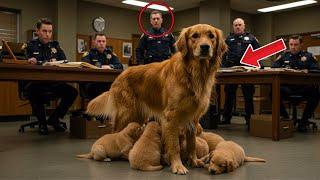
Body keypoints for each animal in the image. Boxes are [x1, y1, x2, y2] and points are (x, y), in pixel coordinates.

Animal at [85, 24, 228, 174]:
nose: (205, 47)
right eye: (194, 36)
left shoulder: (193, 117)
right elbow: (175, 145)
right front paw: (177, 166)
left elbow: (192, 143)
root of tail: (121, 74)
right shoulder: (171, 116)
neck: (194, 73)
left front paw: (194, 161)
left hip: (138, 116)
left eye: (211, 36)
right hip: (126, 113)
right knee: (115, 133)